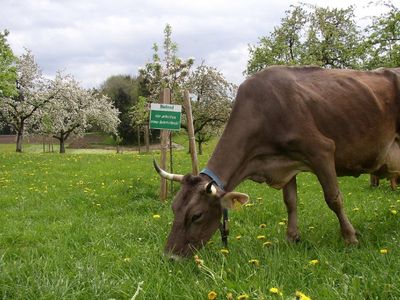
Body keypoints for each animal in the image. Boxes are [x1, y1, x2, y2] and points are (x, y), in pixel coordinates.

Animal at [155, 65, 400, 258]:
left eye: (196, 215)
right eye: (174, 208)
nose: (170, 257)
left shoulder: (321, 150)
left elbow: (334, 198)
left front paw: (350, 237)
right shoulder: (286, 163)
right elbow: (290, 202)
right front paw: (292, 238)